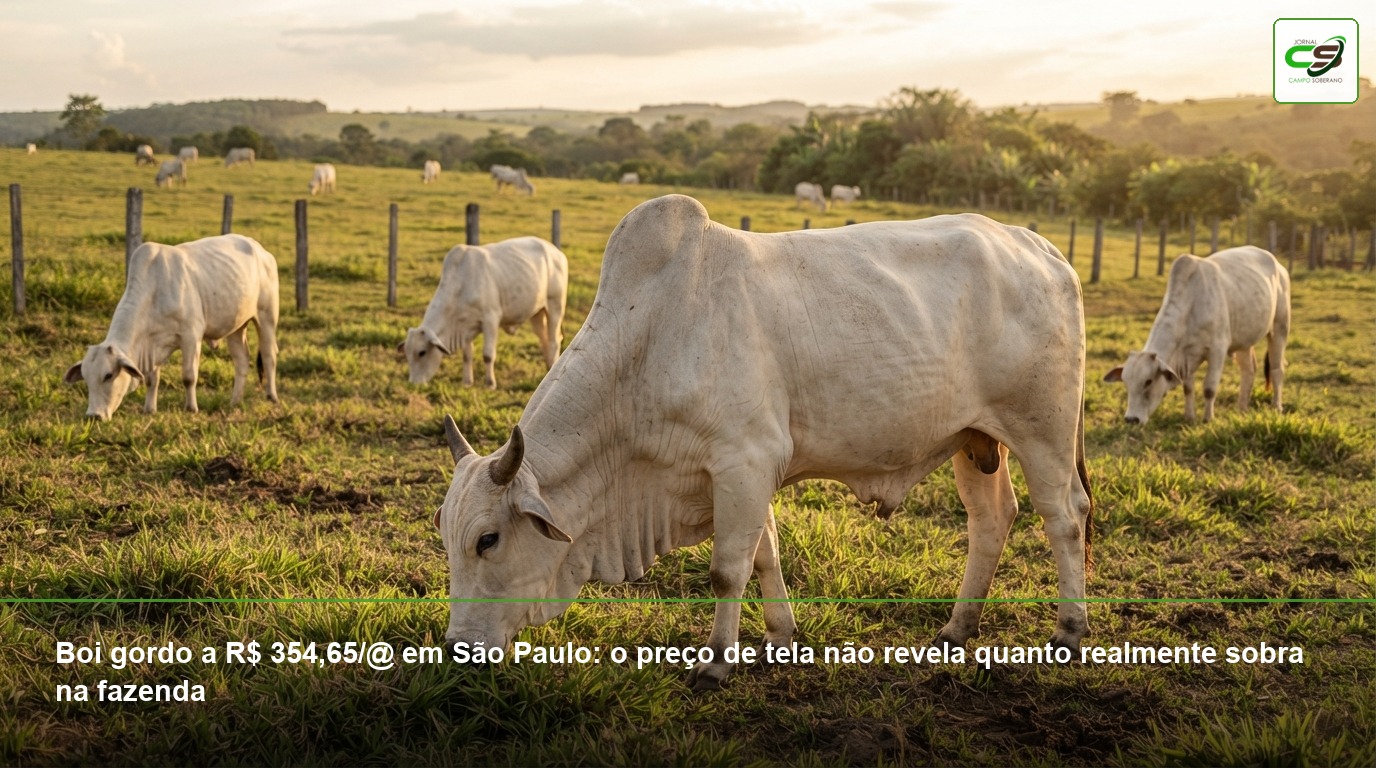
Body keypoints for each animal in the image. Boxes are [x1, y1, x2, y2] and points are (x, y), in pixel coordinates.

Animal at [64, 234, 280, 421]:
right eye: (85, 378)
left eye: (108, 375)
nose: (93, 416)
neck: (154, 291)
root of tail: (260, 249)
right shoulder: (152, 345)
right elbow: (152, 379)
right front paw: (149, 409)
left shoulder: (191, 336)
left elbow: (188, 377)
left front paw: (191, 408)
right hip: (236, 327)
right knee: (241, 361)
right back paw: (235, 401)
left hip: (267, 317)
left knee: (269, 356)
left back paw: (272, 396)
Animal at [400, 236, 567, 388]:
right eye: (406, 354)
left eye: (422, 352)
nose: (413, 383)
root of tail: (556, 252)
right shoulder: (465, 327)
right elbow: (467, 355)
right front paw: (467, 382)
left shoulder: (491, 319)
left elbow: (488, 355)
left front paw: (490, 383)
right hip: (537, 313)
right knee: (544, 339)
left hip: (555, 305)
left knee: (554, 340)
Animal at [433, 194, 1093, 691]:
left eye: (488, 539)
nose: (457, 650)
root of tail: (1039, 247)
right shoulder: (743, 474)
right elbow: (765, 555)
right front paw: (781, 636)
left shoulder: (742, 462)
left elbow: (727, 571)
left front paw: (715, 665)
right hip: (974, 441)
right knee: (992, 519)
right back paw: (956, 630)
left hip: (1043, 431)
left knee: (1064, 516)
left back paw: (1068, 630)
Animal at [1104, 247, 1290, 424]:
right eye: (1125, 382)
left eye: (1148, 381)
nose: (1131, 419)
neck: (1191, 306)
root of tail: (1277, 264)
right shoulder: (1185, 358)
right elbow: (1188, 388)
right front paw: (1189, 417)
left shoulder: (1217, 351)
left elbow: (1209, 389)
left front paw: (1208, 418)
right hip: (1244, 341)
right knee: (1248, 370)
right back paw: (1242, 408)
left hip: (1279, 329)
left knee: (1276, 369)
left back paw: (1277, 406)